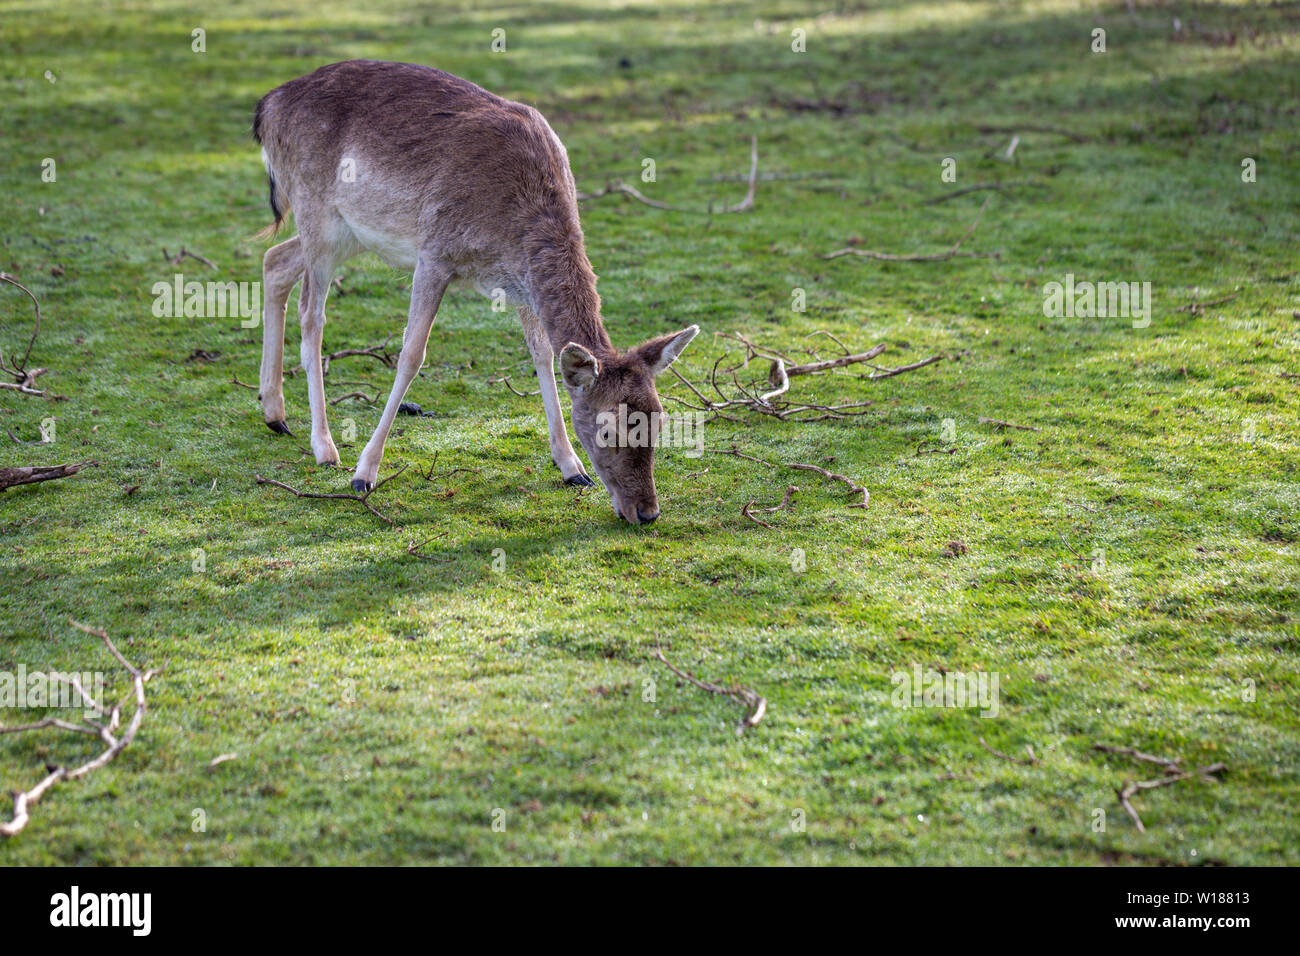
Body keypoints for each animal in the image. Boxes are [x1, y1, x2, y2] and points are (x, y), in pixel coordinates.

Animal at [251, 60, 699, 525]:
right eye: (608, 427)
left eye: (659, 418)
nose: (647, 512)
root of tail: (266, 107)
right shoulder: (434, 253)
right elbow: (411, 355)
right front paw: (364, 473)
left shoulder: (520, 282)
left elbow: (543, 354)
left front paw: (571, 468)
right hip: (316, 211)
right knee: (311, 314)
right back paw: (325, 447)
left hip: (347, 234)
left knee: (274, 260)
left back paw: (274, 413)